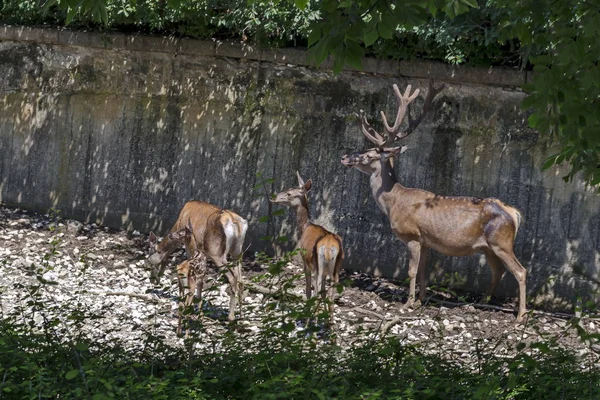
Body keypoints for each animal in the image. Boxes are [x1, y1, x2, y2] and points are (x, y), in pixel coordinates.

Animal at [270, 172, 344, 322]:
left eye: (289, 193)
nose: (273, 197)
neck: (304, 227)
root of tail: (329, 249)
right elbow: (323, 294)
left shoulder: (304, 261)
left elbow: (309, 291)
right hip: (336, 267)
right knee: (331, 295)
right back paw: (330, 324)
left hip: (317, 264)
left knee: (316, 292)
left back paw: (310, 322)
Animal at [340, 81, 528, 322]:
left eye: (368, 155)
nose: (344, 157)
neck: (393, 202)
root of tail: (514, 213)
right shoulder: (426, 241)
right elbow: (423, 271)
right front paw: (420, 300)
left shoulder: (412, 235)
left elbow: (411, 270)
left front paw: (407, 303)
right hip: (488, 247)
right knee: (499, 270)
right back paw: (481, 303)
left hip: (501, 241)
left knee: (520, 270)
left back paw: (520, 316)